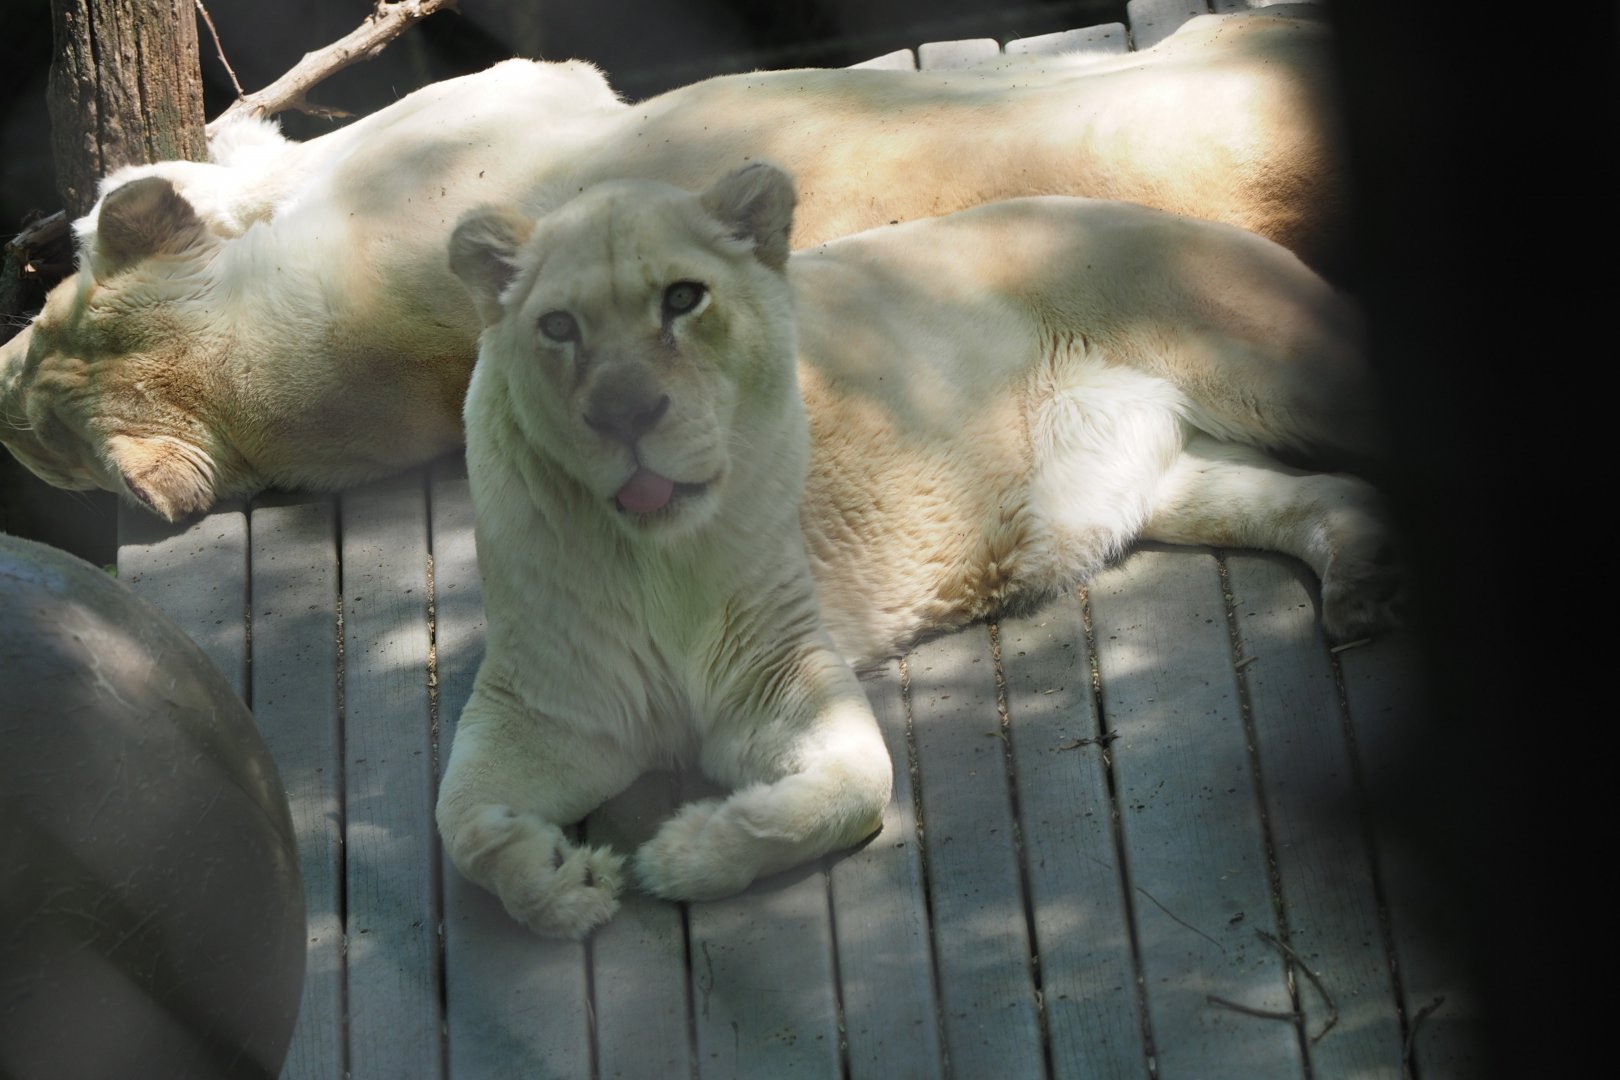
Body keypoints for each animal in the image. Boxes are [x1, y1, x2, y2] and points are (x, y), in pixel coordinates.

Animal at [435, 162, 1396, 938]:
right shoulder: (545, 707)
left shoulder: (780, 674)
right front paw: (558, 882)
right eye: (559, 327)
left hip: (1278, 369)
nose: (626, 412)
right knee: (1333, 495)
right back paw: (1362, 583)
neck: (653, 556)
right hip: (1165, 485)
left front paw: (682, 854)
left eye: (682, 299)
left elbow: (858, 787)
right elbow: (459, 826)